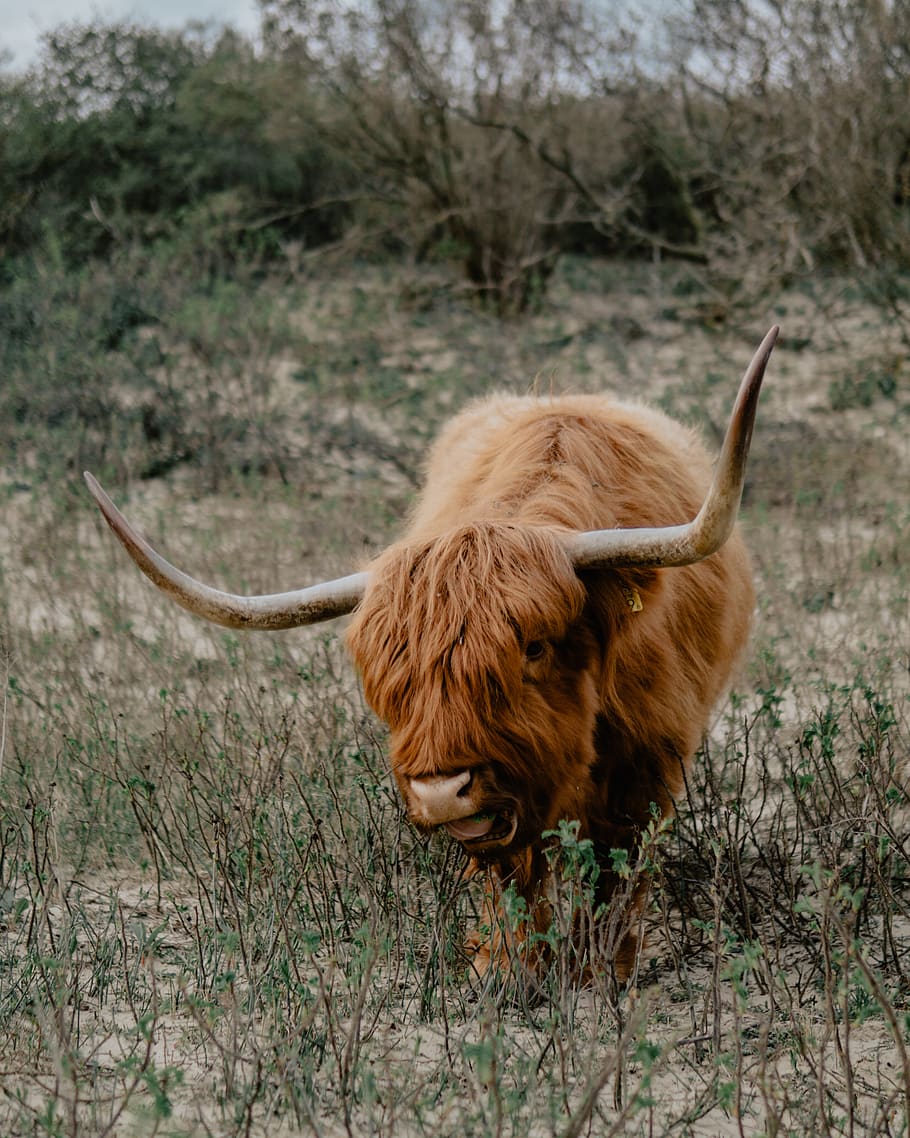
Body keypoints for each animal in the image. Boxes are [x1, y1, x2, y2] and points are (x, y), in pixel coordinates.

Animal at [85, 326, 778, 984]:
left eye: (535, 647)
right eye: (391, 674)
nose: (442, 791)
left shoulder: (651, 755)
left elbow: (619, 867)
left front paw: (608, 970)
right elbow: (513, 871)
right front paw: (504, 968)